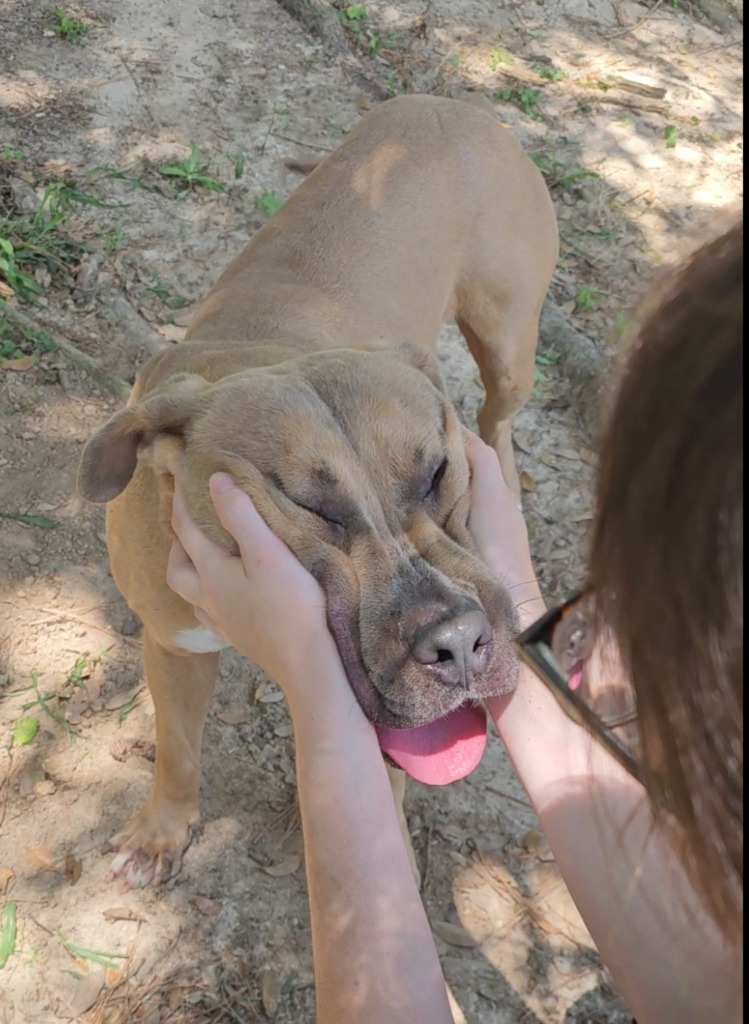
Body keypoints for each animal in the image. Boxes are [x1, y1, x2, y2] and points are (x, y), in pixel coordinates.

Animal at [78, 96, 561, 888]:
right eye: (306, 503)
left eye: (436, 472)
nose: (459, 644)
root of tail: (450, 103)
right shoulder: (174, 645)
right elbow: (177, 751)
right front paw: (160, 833)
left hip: (507, 338)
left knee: (499, 412)